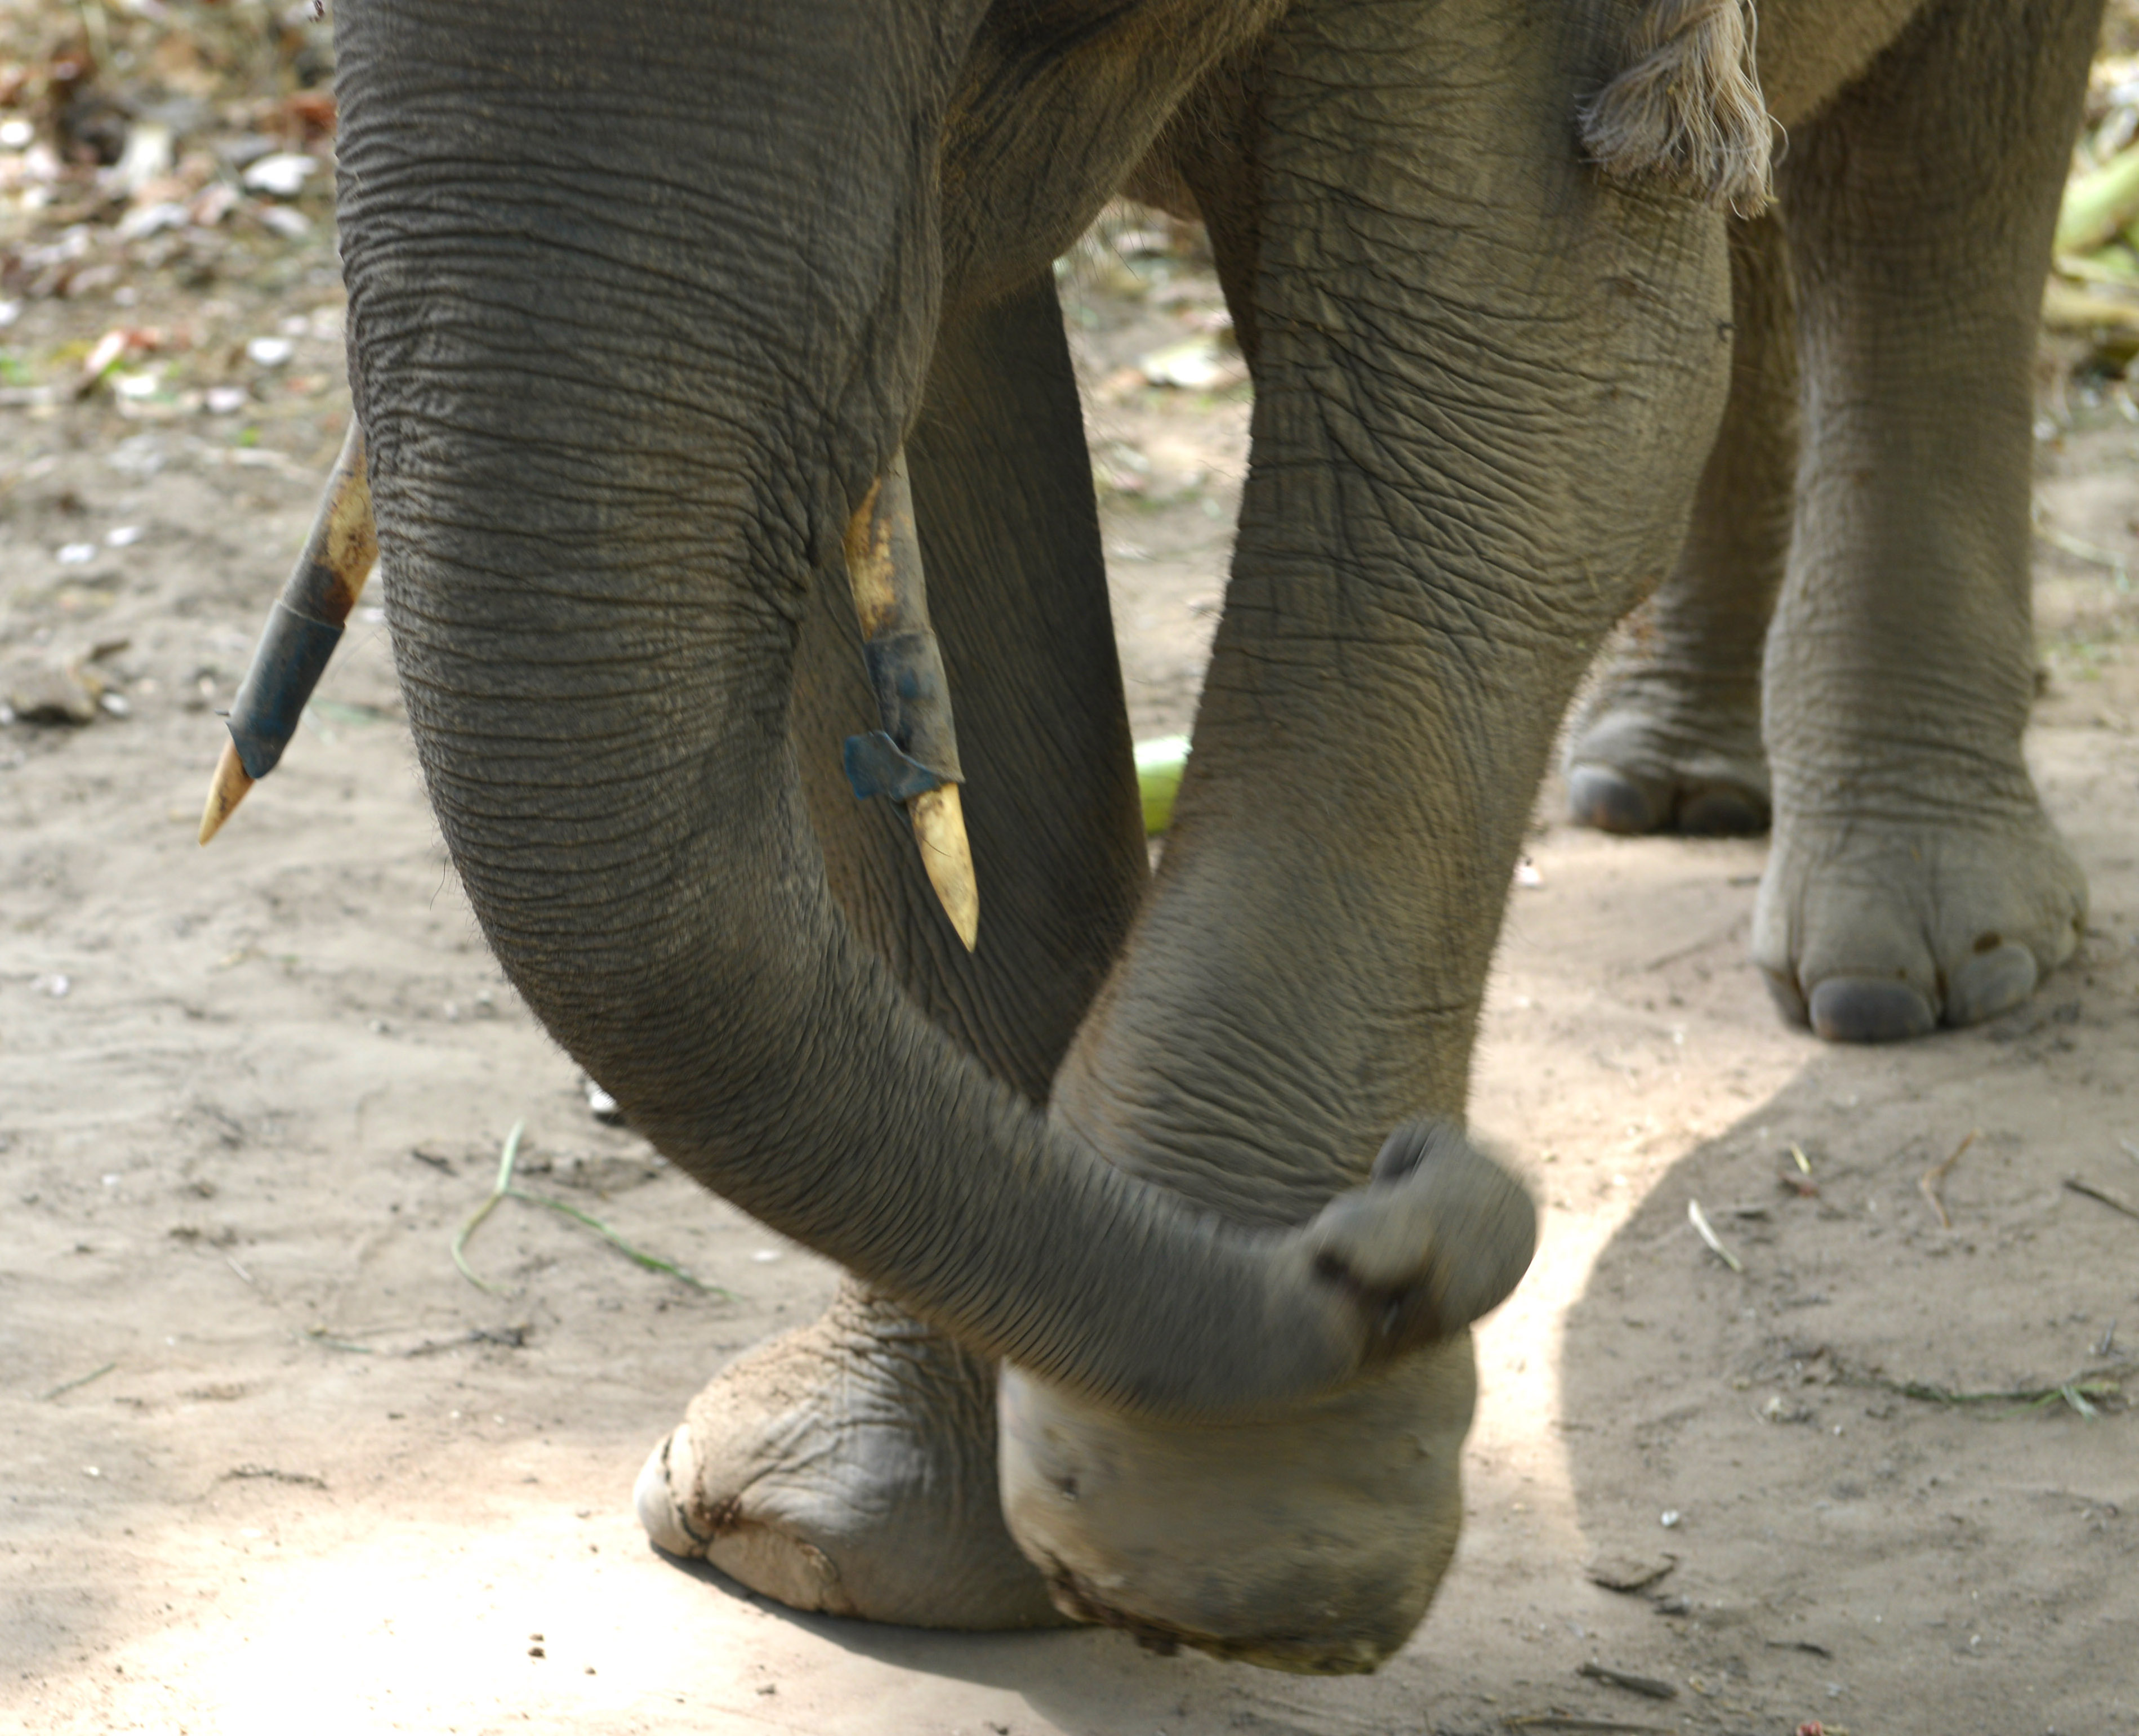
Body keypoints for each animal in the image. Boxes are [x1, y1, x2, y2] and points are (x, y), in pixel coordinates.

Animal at [323, 0, 2098, 1678]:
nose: (1407, 1221)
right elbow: (914, 400)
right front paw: (840, 1555)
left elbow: (1521, 381)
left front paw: (1239, 1551)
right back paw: (1665, 789)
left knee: (1937, 176)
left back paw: (1899, 972)